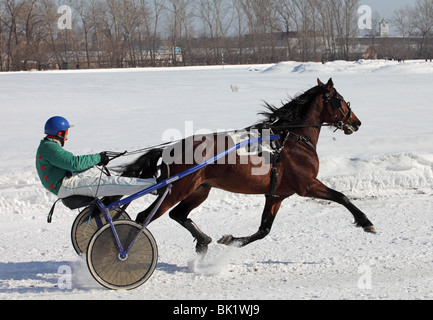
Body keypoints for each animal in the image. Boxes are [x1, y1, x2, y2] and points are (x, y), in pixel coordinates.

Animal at [119, 78, 374, 258]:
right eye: (340, 99)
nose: (357, 122)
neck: (292, 138)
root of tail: (170, 148)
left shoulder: (276, 195)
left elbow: (264, 230)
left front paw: (231, 240)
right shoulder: (307, 185)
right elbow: (342, 197)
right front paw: (366, 222)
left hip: (200, 189)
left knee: (178, 214)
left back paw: (203, 240)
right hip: (177, 189)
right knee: (144, 217)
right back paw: (125, 252)